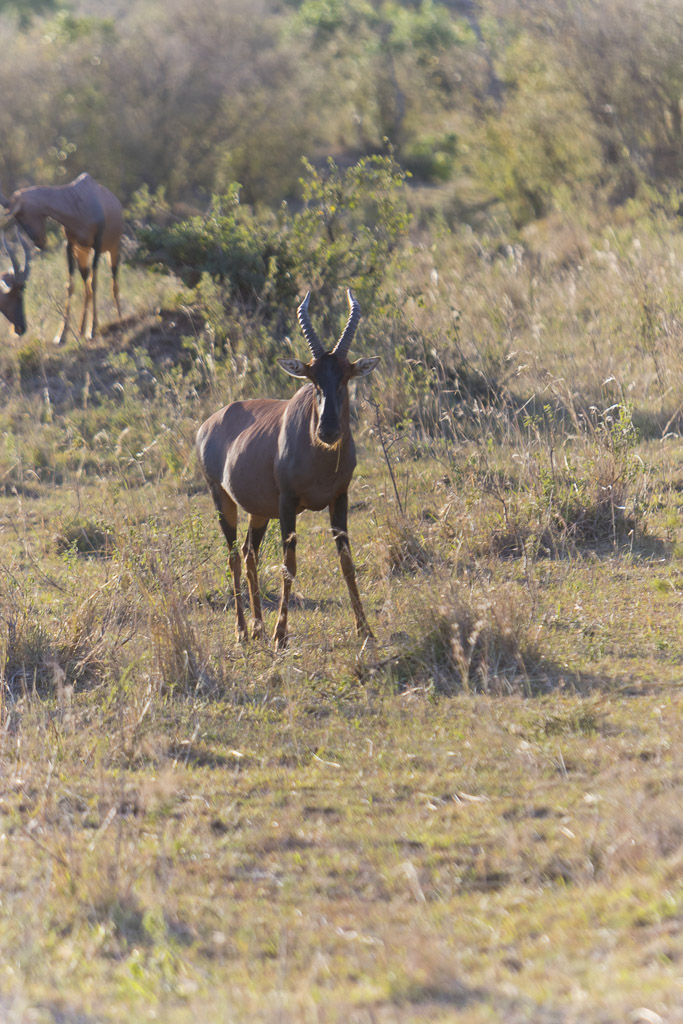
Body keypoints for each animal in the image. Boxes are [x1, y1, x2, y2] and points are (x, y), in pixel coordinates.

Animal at [0, 173, 124, 345]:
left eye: (20, 215)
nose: (39, 243)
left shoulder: (97, 245)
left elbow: (95, 283)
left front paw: (92, 330)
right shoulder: (70, 245)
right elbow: (70, 286)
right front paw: (61, 336)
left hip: (112, 250)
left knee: (112, 281)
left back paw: (118, 317)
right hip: (82, 253)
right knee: (86, 283)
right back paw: (80, 329)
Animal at [196, 288, 379, 650]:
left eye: (345, 377)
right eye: (313, 379)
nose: (328, 430)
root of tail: (209, 423)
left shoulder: (340, 498)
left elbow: (347, 562)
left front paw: (365, 630)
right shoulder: (288, 504)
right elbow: (288, 565)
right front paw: (280, 636)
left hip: (259, 511)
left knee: (249, 553)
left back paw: (257, 628)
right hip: (222, 499)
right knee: (234, 556)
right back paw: (242, 632)